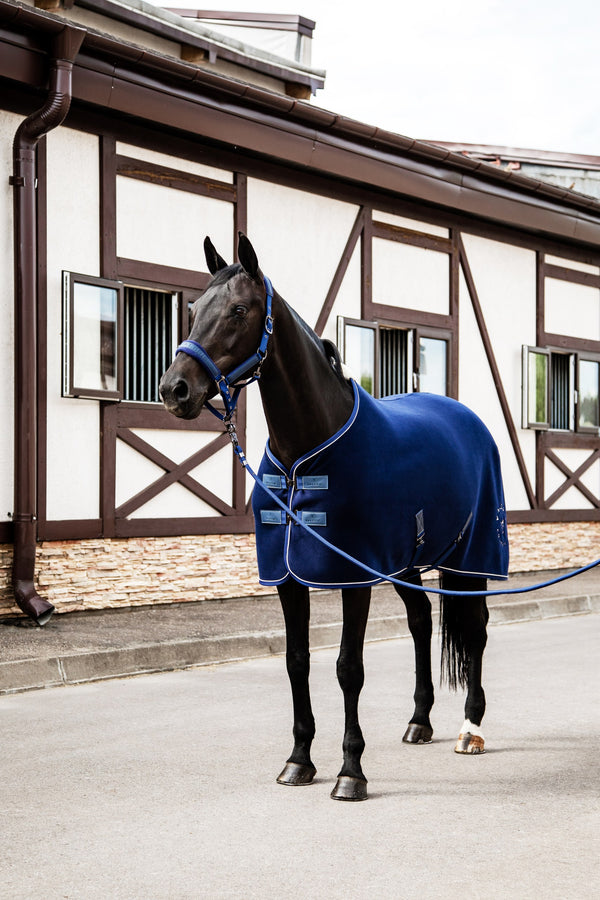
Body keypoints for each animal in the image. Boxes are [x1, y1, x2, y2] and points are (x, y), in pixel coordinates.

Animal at [159, 232, 509, 801]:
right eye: (192, 311)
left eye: (238, 310)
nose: (175, 390)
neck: (308, 448)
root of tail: (469, 420)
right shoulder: (287, 577)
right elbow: (296, 661)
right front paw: (298, 760)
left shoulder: (353, 575)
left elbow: (349, 668)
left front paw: (351, 771)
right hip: (407, 562)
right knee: (420, 622)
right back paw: (420, 721)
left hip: (471, 554)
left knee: (475, 628)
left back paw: (470, 729)